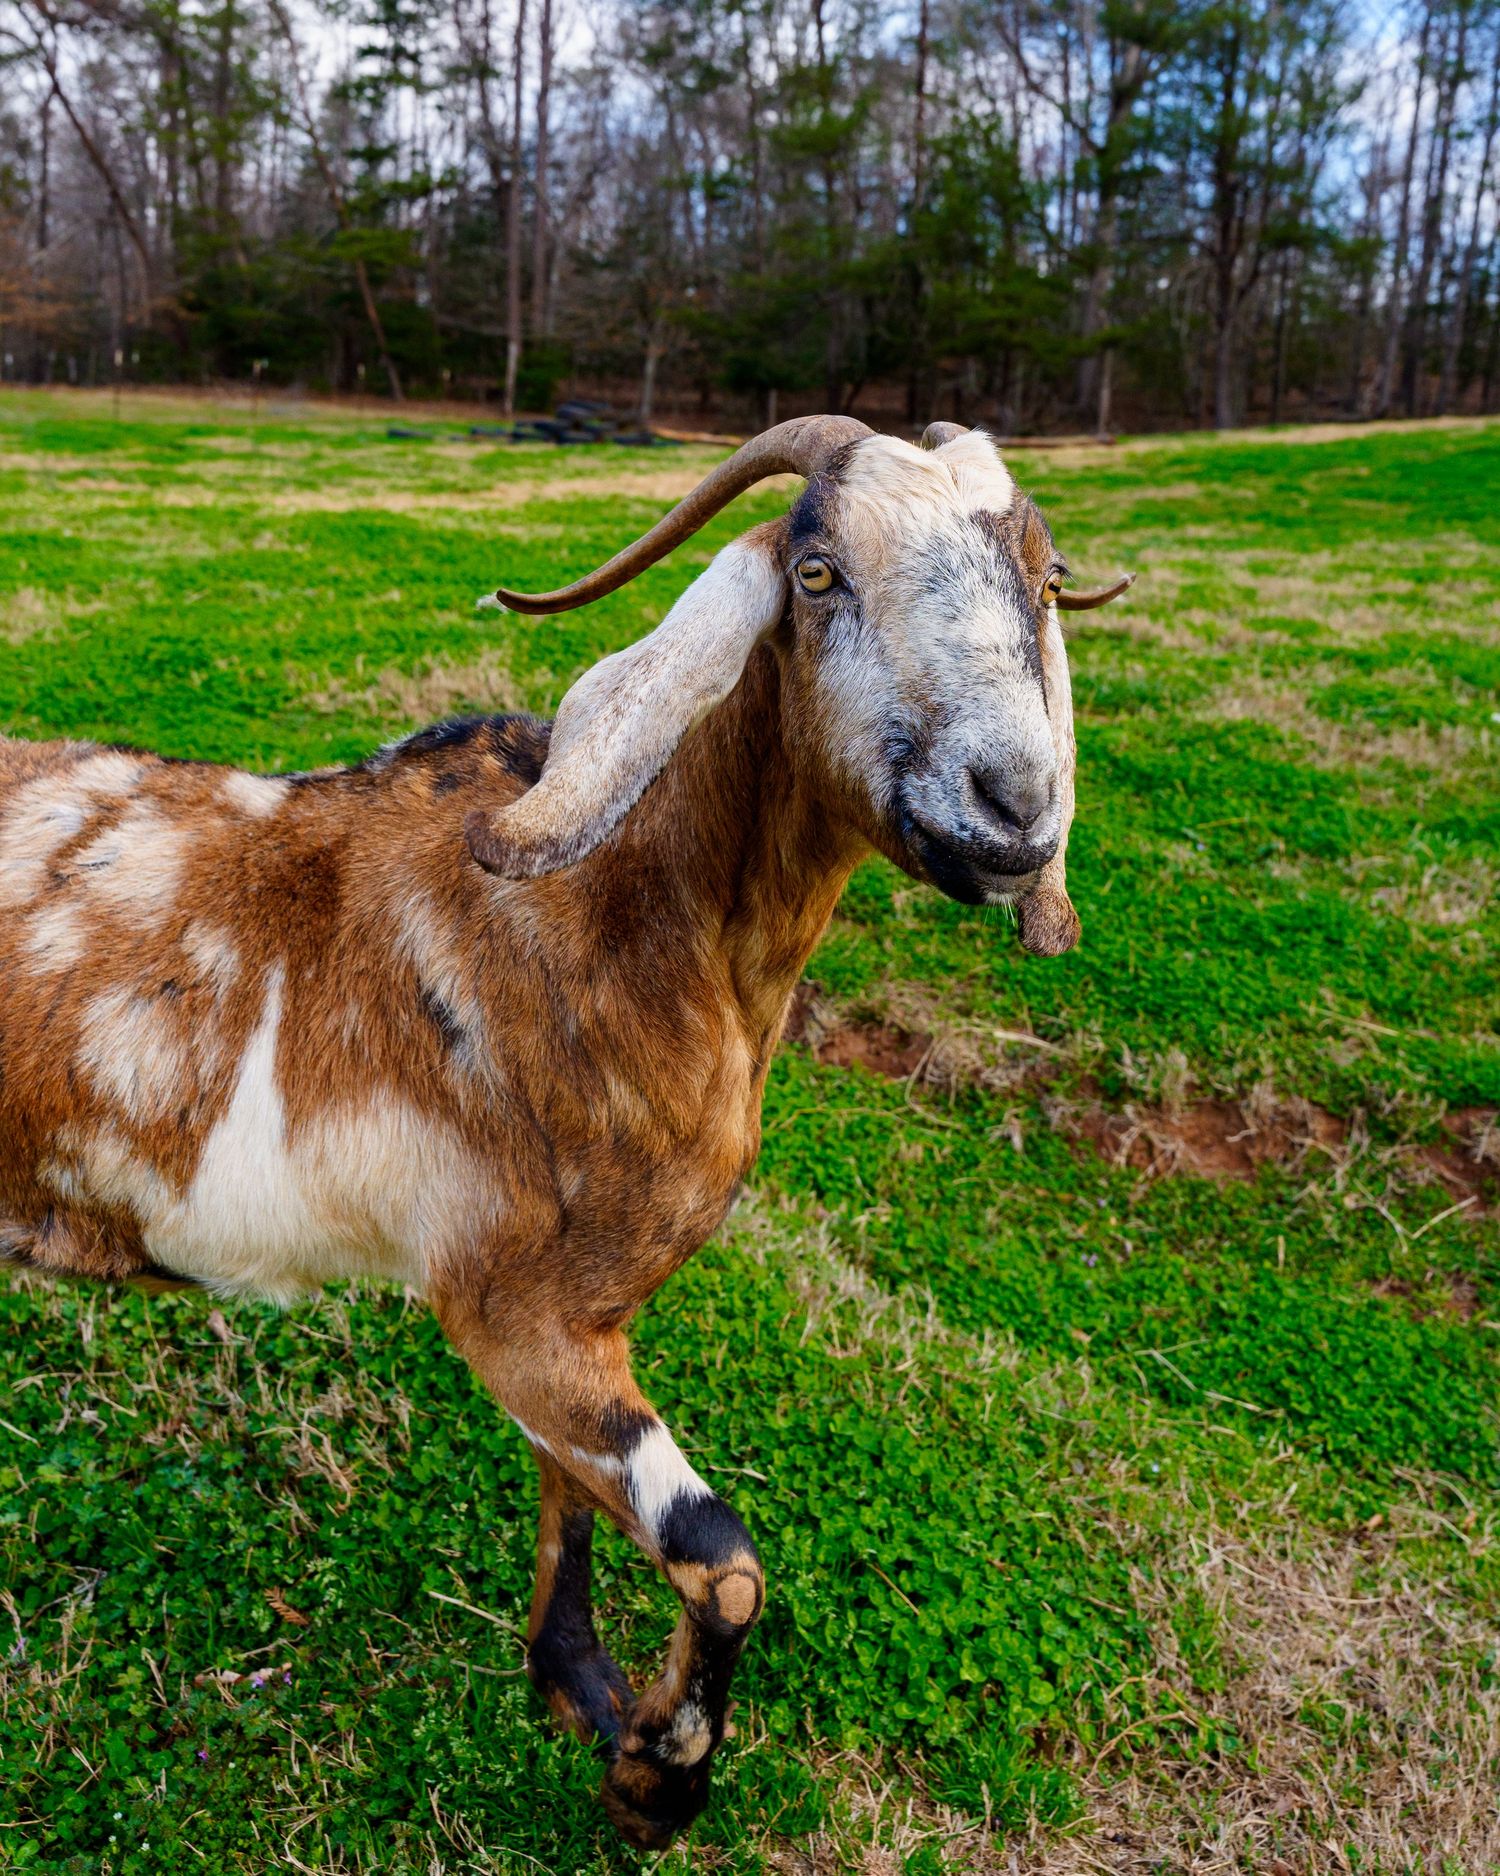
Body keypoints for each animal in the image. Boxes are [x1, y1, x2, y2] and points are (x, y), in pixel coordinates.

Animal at [0, 417, 1131, 1846]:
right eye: (817, 571)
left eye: (1046, 580)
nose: (1013, 807)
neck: (609, 916)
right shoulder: (505, 1308)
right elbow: (725, 1564)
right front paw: (655, 1776)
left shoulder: (586, 1316)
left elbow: (567, 1494)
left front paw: (576, 1684)